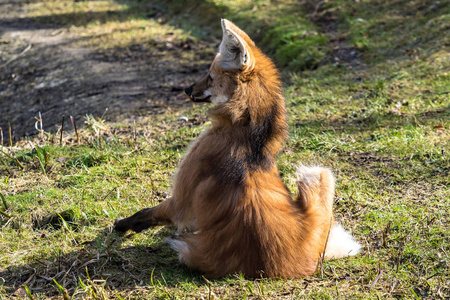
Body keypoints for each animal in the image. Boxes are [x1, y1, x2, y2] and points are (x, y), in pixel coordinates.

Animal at [114, 18, 360, 276]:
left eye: (210, 77)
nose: (187, 89)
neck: (248, 130)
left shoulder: (181, 200)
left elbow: (150, 212)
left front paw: (121, 226)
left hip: (313, 174)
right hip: (324, 175)